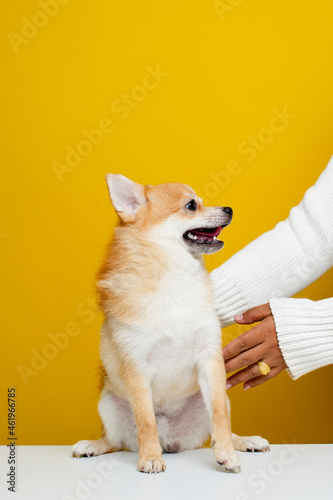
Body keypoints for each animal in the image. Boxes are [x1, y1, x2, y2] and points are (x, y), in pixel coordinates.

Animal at [72, 175, 268, 472]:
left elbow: (220, 416)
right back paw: (94, 445)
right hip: (108, 406)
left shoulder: (210, 361)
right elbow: (146, 421)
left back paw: (243, 441)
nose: (229, 209)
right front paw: (151, 457)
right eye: (191, 205)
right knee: (116, 440)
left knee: (216, 425)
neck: (175, 276)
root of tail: (171, 439)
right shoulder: (137, 369)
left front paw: (227, 454)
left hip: (214, 398)